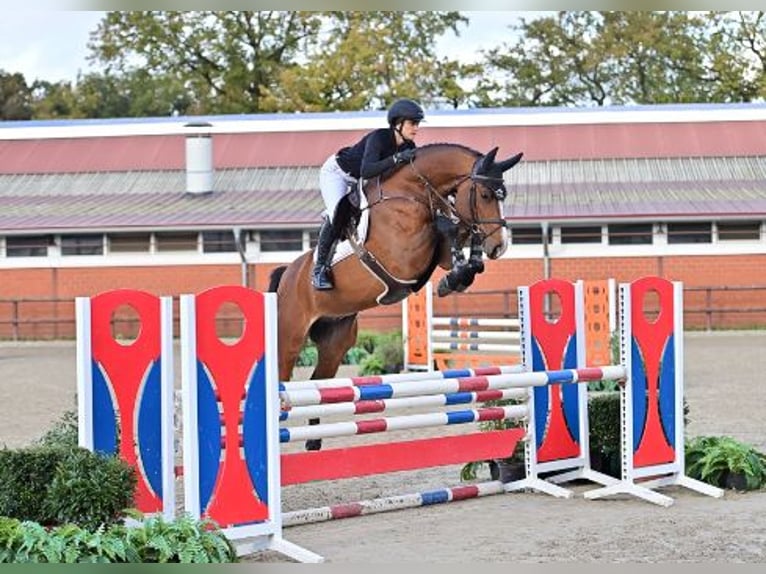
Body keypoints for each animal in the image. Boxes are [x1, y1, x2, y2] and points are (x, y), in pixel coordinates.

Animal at [268, 143, 524, 450]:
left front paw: (454, 278)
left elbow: (460, 243)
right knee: (282, 373)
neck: (414, 192)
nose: (500, 246)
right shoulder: (404, 255)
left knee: (320, 382)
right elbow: (447, 228)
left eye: (503, 195)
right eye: (485, 195)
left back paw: (313, 442)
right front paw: (454, 267)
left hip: (336, 340)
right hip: (291, 335)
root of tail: (288, 273)